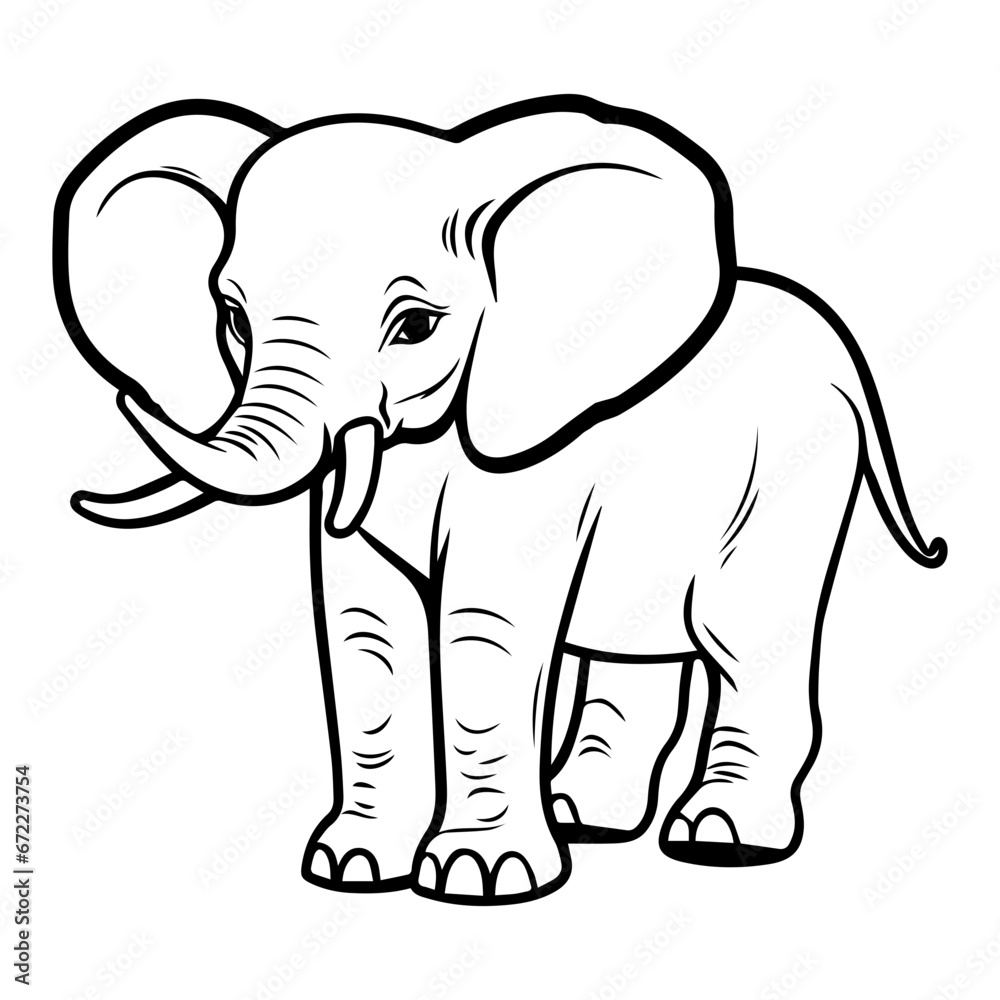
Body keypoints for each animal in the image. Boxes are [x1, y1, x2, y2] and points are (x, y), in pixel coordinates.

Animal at [53, 95, 946, 905]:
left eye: (415, 326)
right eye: (234, 318)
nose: (80, 492)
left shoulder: (529, 458)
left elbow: (483, 627)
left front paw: (479, 879)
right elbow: (363, 633)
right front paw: (352, 868)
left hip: (791, 474)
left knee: (743, 634)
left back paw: (720, 837)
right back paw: (582, 816)